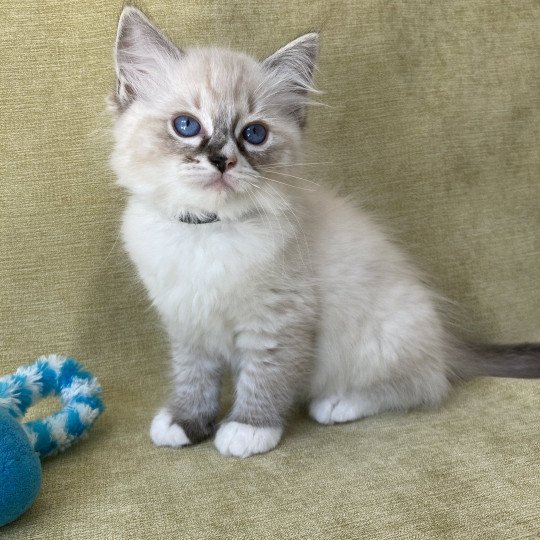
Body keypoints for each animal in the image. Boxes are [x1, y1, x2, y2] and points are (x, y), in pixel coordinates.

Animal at [110, 6, 540, 458]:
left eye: (254, 134)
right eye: (186, 126)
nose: (222, 160)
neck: (208, 232)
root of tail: (447, 342)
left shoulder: (278, 321)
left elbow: (264, 378)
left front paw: (248, 429)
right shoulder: (187, 323)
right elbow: (194, 378)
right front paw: (185, 422)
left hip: (380, 339)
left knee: (423, 385)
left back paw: (337, 404)